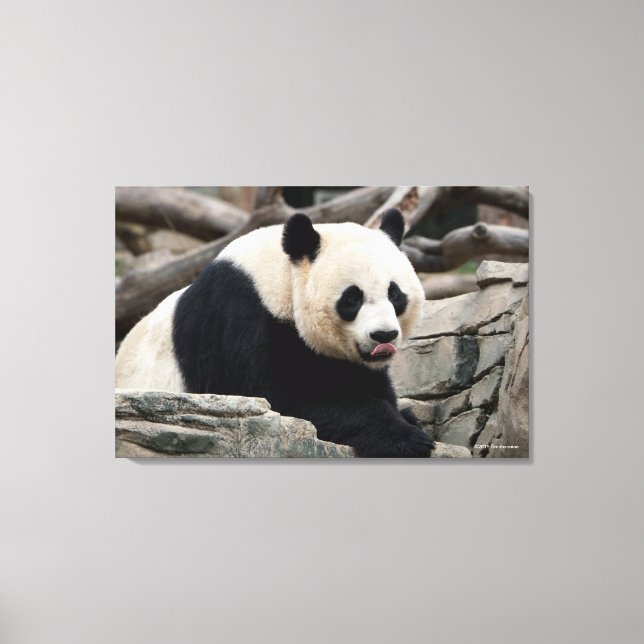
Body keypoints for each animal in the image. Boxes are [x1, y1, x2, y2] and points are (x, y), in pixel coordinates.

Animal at [115, 209, 434, 457]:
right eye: (352, 298)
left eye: (395, 294)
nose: (384, 336)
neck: (281, 276)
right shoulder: (243, 317)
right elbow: (279, 397)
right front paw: (408, 438)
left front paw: (407, 418)